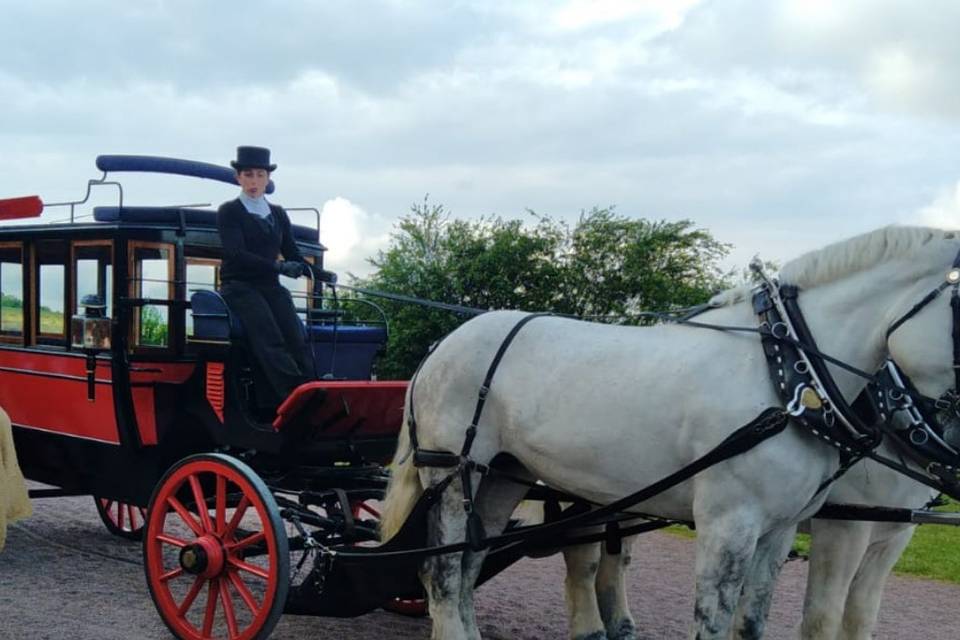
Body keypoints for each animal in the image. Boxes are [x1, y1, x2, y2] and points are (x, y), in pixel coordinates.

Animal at [378, 228, 960, 636]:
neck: (785, 373)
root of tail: (444, 343)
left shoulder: (782, 530)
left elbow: (754, 623)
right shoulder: (738, 522)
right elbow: (718, 619)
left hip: (502, 475)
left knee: (467, 567)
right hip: (451, 475)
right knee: (444, 574)